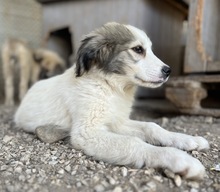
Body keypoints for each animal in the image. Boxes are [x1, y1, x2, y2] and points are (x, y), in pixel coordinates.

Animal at [14, 22, 210, 180]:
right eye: (138, 49)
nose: (168, 71)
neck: (111, 87)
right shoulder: (87, 132)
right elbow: (134, 142)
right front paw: (179, 159)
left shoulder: (117, 122)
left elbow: (152, 126)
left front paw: (187, 139)